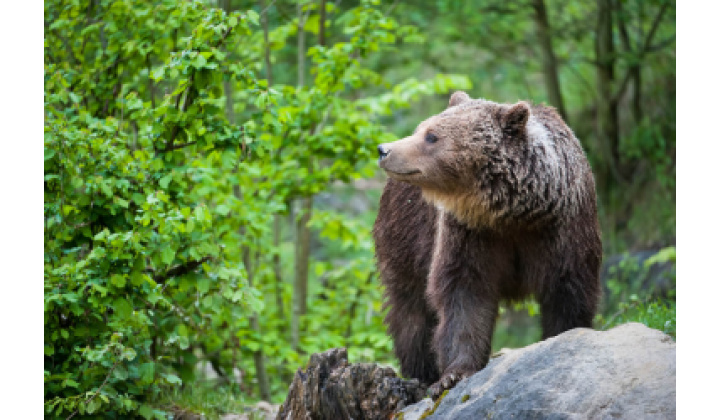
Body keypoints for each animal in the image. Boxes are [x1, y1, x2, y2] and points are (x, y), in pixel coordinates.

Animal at [372, 90, 600, 398]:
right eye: (421, 129)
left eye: (431, 136)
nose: (384, 149)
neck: (514, 214)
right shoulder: (470, 233)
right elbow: (465, 294)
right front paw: (453, 374)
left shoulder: (564, 229)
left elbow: (568, 290)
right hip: (405, 238)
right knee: (411, 311)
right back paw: (421, 372)